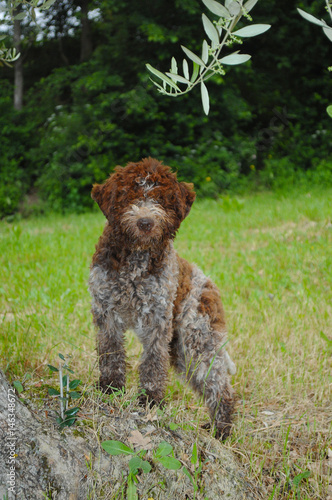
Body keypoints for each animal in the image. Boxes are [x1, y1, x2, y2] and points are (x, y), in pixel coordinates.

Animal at [87, 157, 236, 438]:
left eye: (160, 199)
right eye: (129, 196)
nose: (145, 222)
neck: (136, 259)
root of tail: (209, 283)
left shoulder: (157, 319)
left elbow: (153, 362)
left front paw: (151, 400)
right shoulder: (106, 311)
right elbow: (111, 354)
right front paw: (110, 388)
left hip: (197, 338)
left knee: (220, 384)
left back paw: (221, 430)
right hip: (180, 350)